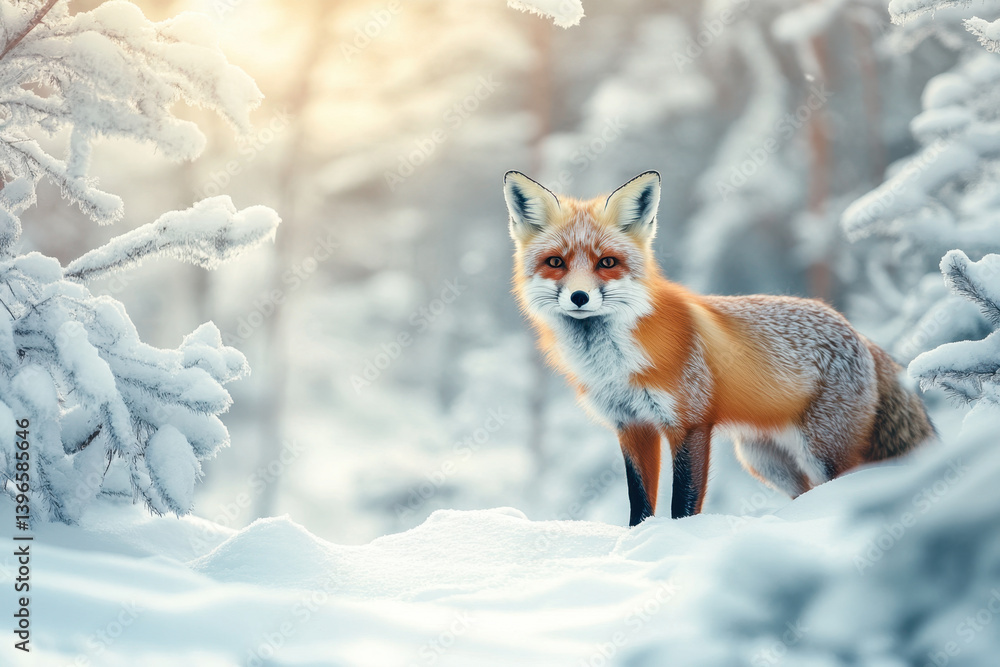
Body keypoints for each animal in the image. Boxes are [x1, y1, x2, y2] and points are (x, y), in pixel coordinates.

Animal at [503, 170, 936, 526]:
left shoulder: (690, 423)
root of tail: (860, 334)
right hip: (765, 460)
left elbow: (683, 502)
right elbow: (639, 502)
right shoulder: (632, 425)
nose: (579, 297)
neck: (615, 365)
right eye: (555, 262)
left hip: (824, 451)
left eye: (607, 262)